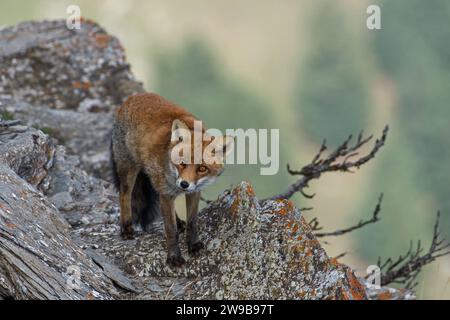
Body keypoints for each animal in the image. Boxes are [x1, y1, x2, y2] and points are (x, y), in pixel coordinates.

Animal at [110, 91, 232, 266]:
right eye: (182, 163)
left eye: (202, 169)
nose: (184, 184)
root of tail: (134, 96)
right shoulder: (167, 194)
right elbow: (170, 230)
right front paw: (174, 256)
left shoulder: (193, 192)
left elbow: (192, 222)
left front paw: (193, 244)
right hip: (129, 170)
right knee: (124, 196)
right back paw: (126, 227)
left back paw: (179, 222)